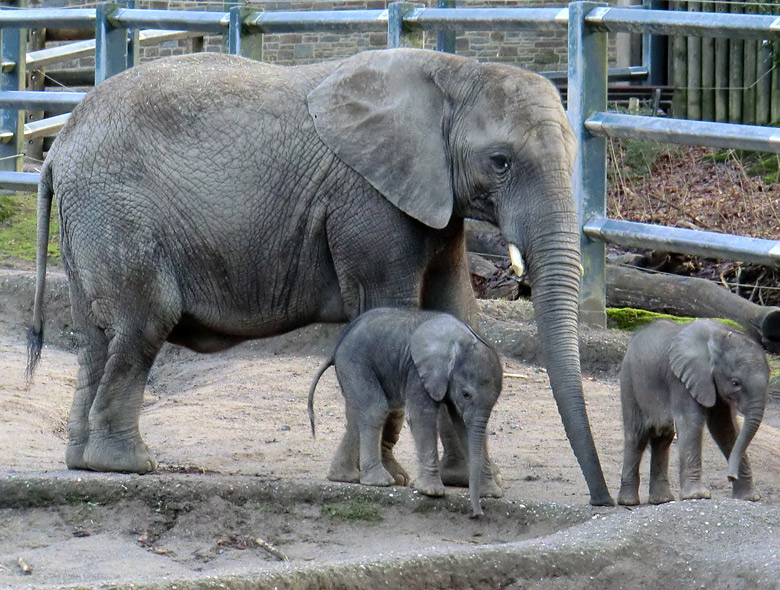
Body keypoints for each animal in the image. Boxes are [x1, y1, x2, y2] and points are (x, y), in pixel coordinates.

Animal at [308, 310, 502, 520]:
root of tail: (336, 347)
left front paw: (492, 493)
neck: (460, 341)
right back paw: (380, 482)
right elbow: (421, 416)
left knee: (355, 417)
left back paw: (345, 477)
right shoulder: (418, 371)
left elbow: (462, 424)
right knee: (374, 409)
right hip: (355, 363)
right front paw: (431, 492)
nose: (477, 514)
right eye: (466, 394)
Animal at [620, 322, 772, 506]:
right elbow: (691, 421)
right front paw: (697, 495)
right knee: (636, 436)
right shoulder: (680, 379)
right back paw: (629, 502)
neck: (717, 337)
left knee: (662, 440)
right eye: (735, 383)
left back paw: (662, 500)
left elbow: (724, 426)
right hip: (629, 384)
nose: (730, 476)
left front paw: (750, 498)